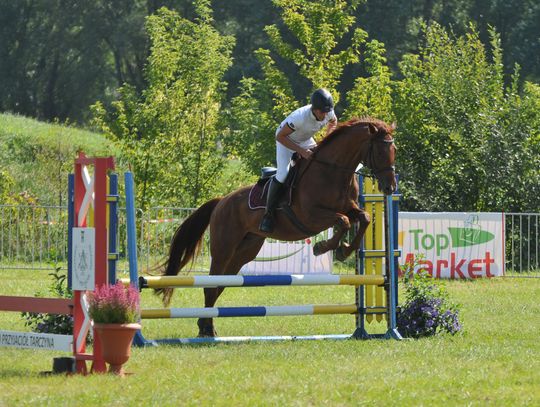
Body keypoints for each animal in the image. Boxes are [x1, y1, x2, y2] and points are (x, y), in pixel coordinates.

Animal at [154, 116, 394, 336]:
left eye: (394, 150)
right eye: (381, 152)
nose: (390, 187)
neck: (333, 171)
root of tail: (222, 201)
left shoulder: (350, 208)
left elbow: (364, 218)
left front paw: (344, 250)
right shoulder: (311, 216)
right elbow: (342, 221)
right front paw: (323, 247)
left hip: (244, 251)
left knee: (220, 286)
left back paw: (206, 326)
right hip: (224, 249)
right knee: (210, 286)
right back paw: (206, 329)